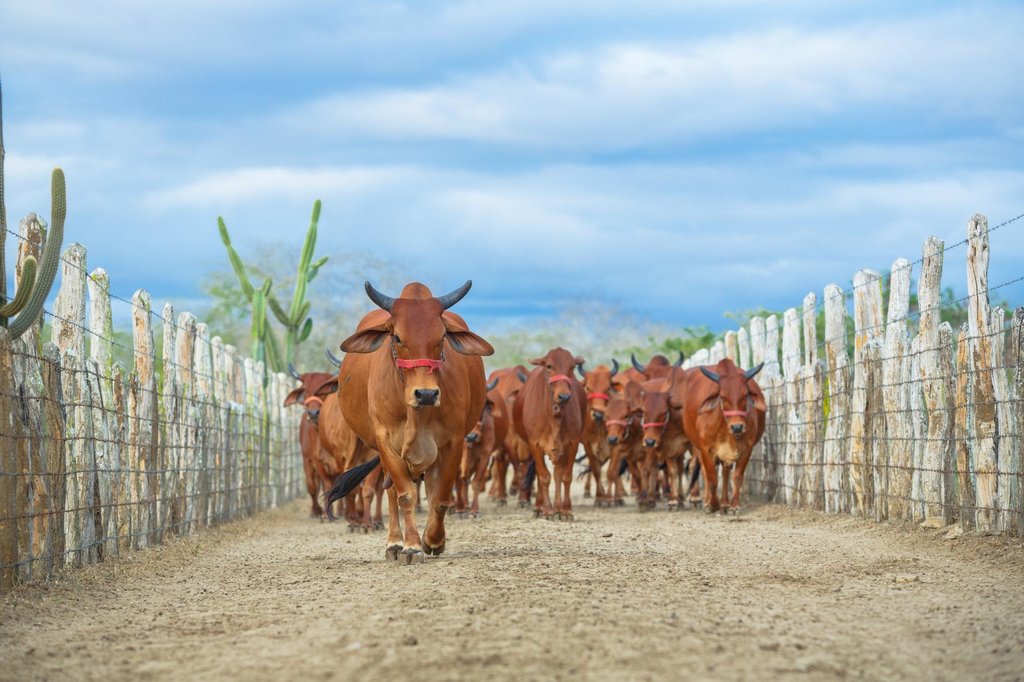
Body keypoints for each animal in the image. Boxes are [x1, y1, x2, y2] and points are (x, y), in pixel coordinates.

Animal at [284, 364, 339, 518]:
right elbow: (317, 486)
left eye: (323, 392)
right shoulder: (315, 461)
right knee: (313, 485)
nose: (313, 413)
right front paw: (320, 512)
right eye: (306, 391)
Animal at [323, 278, 491, 561]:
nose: (426, 394)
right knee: (391, 492)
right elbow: (405, 495)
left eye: (442, 337)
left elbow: (440, 497)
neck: (417, 415)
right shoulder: (385, 441)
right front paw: (411, 545)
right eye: (398, 337)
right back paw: (394, 542)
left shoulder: (454, 442)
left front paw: (433, 540)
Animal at [512, 348, 585, 518]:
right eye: (549, 366)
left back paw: (558, 507)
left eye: (572, 367)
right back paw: (540, 508)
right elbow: (544, 477)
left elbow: (565, 476)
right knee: (540, 477)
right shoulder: (535, 444)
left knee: (557, 474)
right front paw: (547, 510)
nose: (564, 396)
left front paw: (566, 510)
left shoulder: (573, 443)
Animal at [581, 358, 618, 501]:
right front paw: (600, 497)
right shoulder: (587, 444)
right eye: (587, 388)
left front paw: (609, 498)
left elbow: (611, 472)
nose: (598, 414)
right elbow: (596, 470)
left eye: (608, 388)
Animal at [684, 358, 765, 512]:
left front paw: (734, 505)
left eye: (745, 395)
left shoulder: (747, 448)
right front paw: (712, 504)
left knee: (726, 472)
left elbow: (737, 477)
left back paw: (725, 502)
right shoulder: (706, 449)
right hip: (697, 448)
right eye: (722, 396)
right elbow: (712, 478)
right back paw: (707, 501)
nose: (737, 426)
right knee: (704, 471)